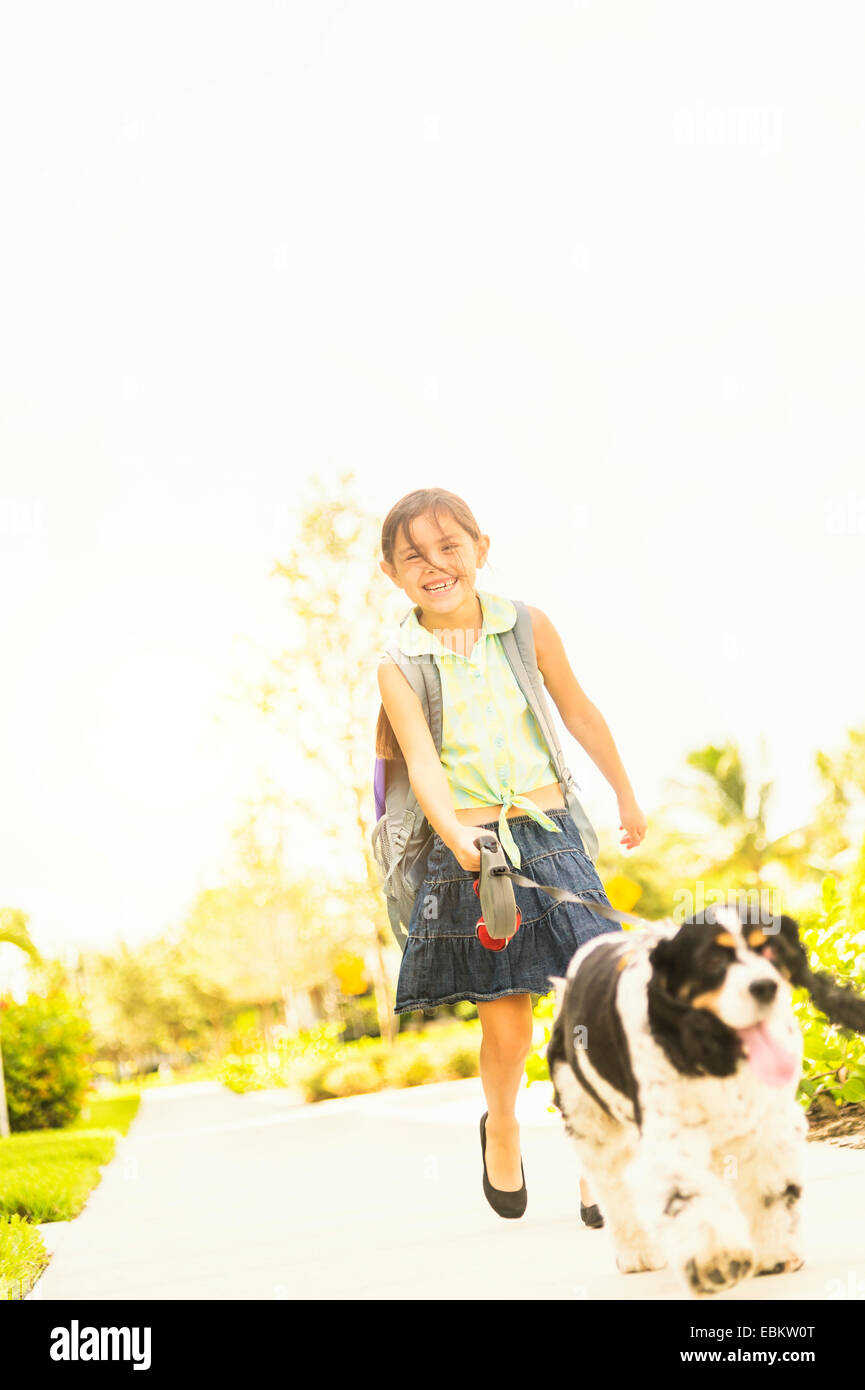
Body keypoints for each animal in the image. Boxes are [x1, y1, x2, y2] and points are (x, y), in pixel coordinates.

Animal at [547, 906, 865, 1295]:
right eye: (713, 960)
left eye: (771, 950)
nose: (766, 987)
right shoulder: (672, 1135)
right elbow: (692, 1197)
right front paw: (719, 1260)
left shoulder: (769, 1126)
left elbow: (770, 1190)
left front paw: (774, 1253)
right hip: (592, 1125)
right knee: (613, 1189)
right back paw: (637, 1253)